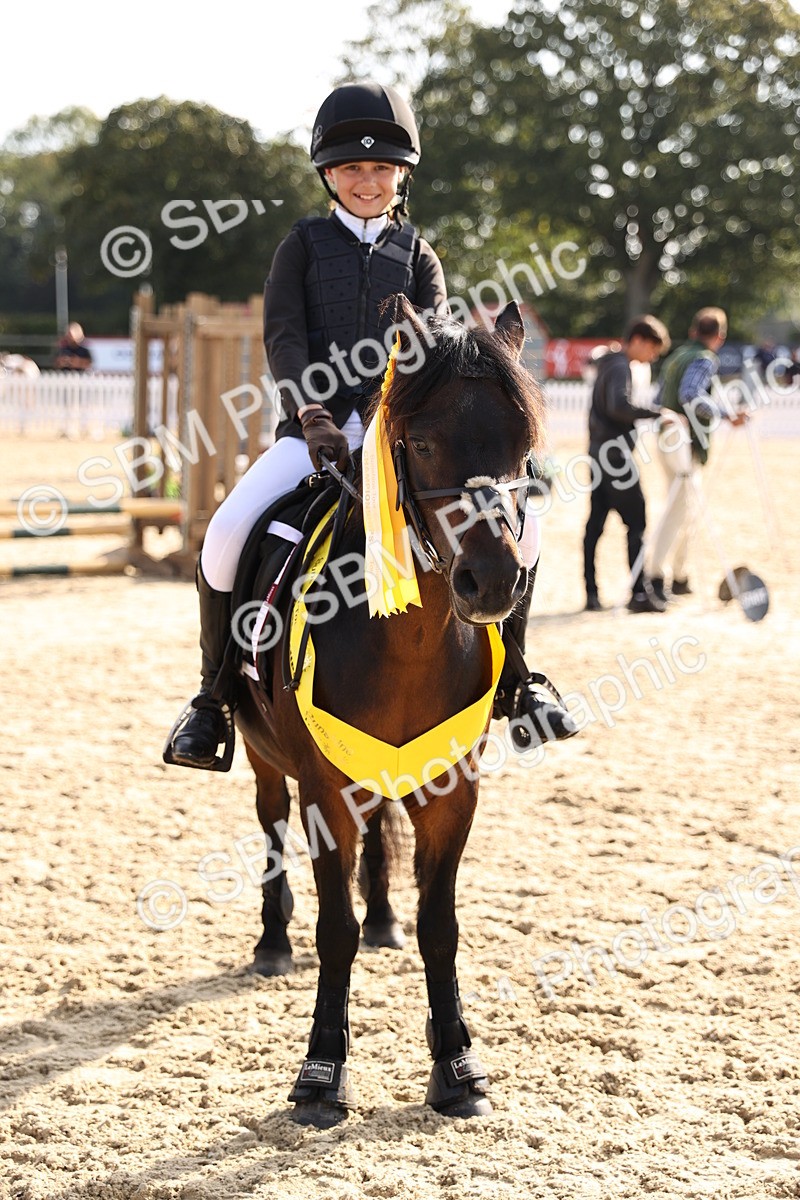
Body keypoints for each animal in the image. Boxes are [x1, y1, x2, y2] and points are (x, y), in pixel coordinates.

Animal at [234, 294, 544, 1125]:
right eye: (424, 442)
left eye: (522, 446)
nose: (492, 581)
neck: (405, 641)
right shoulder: (324, 790)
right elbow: (332, 929)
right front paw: (321, 1072)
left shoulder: (454, 790)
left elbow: (442, 927)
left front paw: (458, 1066)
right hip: (265, 759)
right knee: (270, 824)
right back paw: (272, 943)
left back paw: (384, 920)